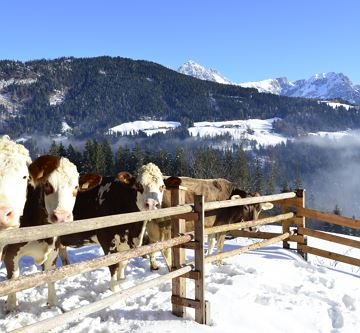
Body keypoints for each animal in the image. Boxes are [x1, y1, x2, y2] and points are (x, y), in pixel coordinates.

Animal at [2, 156, 79, 312]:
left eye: (76, 187)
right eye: (47, 185)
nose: (61, 217)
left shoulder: (54, 250)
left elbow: (51, 274)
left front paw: (53, 304)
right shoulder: (10, 252)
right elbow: (13, 278)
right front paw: (11, 307)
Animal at [58, 162, 165, 292]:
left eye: (162, 186)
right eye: (139, 185)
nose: (152, 204)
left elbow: (122, 263)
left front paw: (122, 281)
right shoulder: (106, 239)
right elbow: (114, 265)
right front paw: (114, 290)